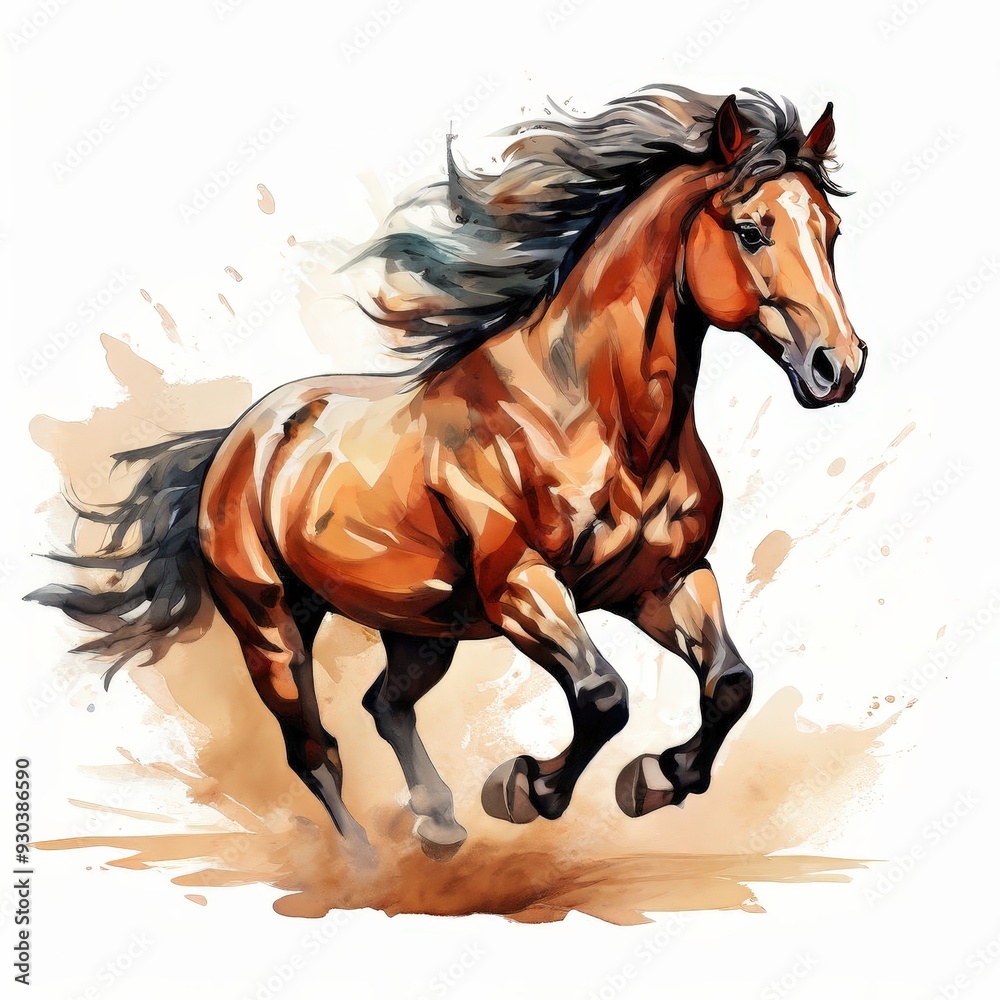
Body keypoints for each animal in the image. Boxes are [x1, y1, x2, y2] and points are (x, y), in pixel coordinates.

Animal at [29, 86, 866, 858]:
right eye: (751, 230)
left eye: (831, 231)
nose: (839, 367)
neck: (597, 418)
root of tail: (239, 439)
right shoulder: (521, 587)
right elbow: (603, 696)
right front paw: (525, 789)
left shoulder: (662, 581)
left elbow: (730, 685)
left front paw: (656, 778)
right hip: (270, 623)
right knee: (315, 748)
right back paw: (365, 864)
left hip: (422, 627)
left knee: (385, 705)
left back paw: (437, 821)